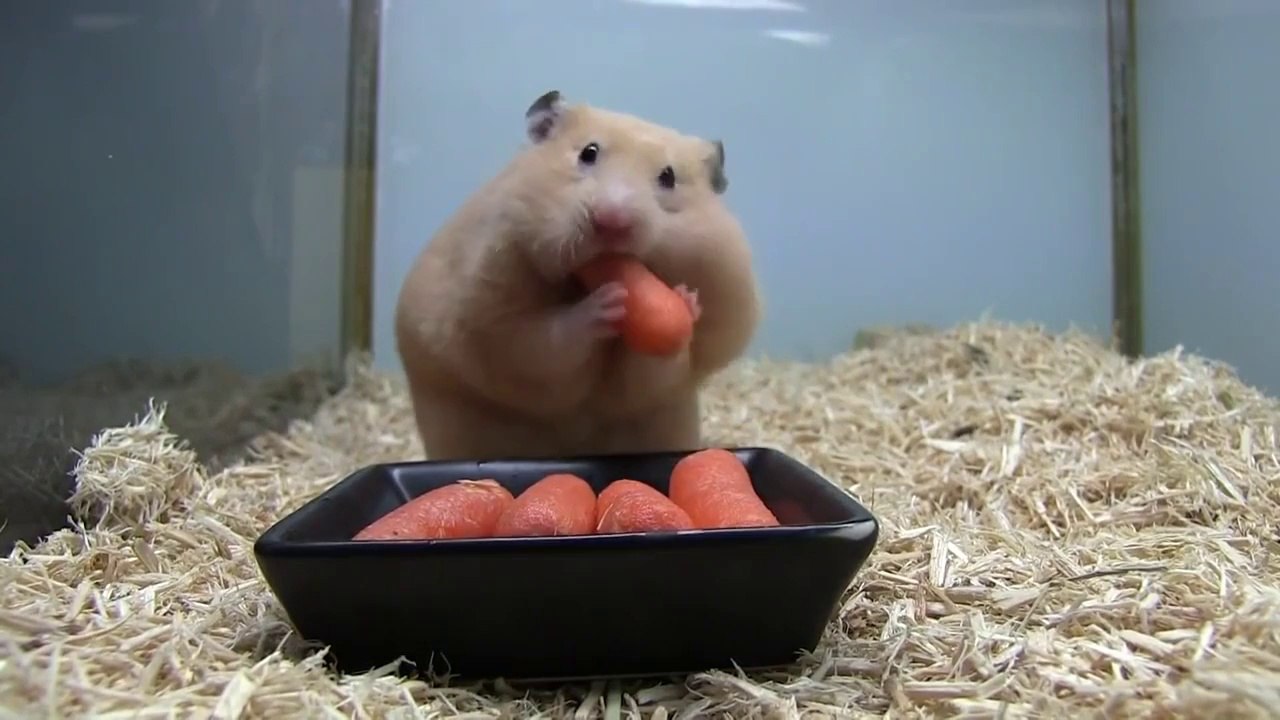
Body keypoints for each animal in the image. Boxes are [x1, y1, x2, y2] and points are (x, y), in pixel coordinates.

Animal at [393, 89, 762, 461]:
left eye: (668, 177)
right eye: (589, 152)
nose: (612, 220)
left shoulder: (662, 384)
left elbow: (656, 367)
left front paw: (686, 300)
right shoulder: (497, 326)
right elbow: (546, 339)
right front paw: (606, 302)